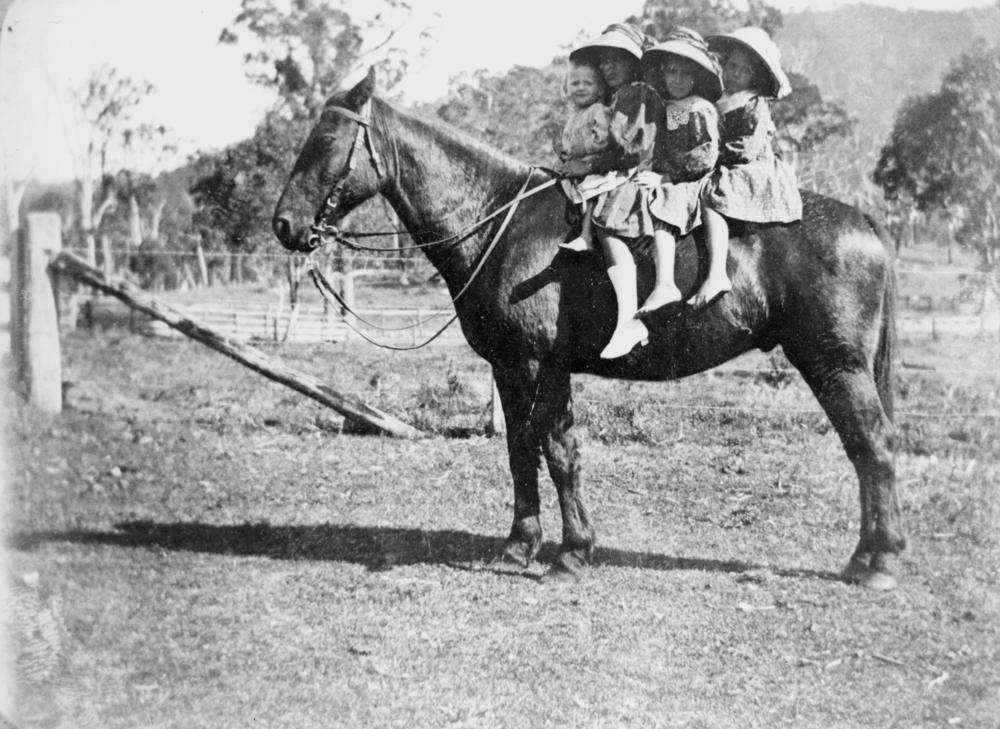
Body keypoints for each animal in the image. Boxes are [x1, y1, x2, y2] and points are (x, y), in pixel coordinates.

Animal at [270, 68, 904, 588]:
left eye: (325, 140)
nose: (283, 224)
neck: (502, 224)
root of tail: (863, 219)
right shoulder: (511, 367)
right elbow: (522, 451)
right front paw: (521, 547)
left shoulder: (539, 366)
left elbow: (557, 452)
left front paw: (572, 553)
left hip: (835, 366)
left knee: (872, 445)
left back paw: (876, 562)